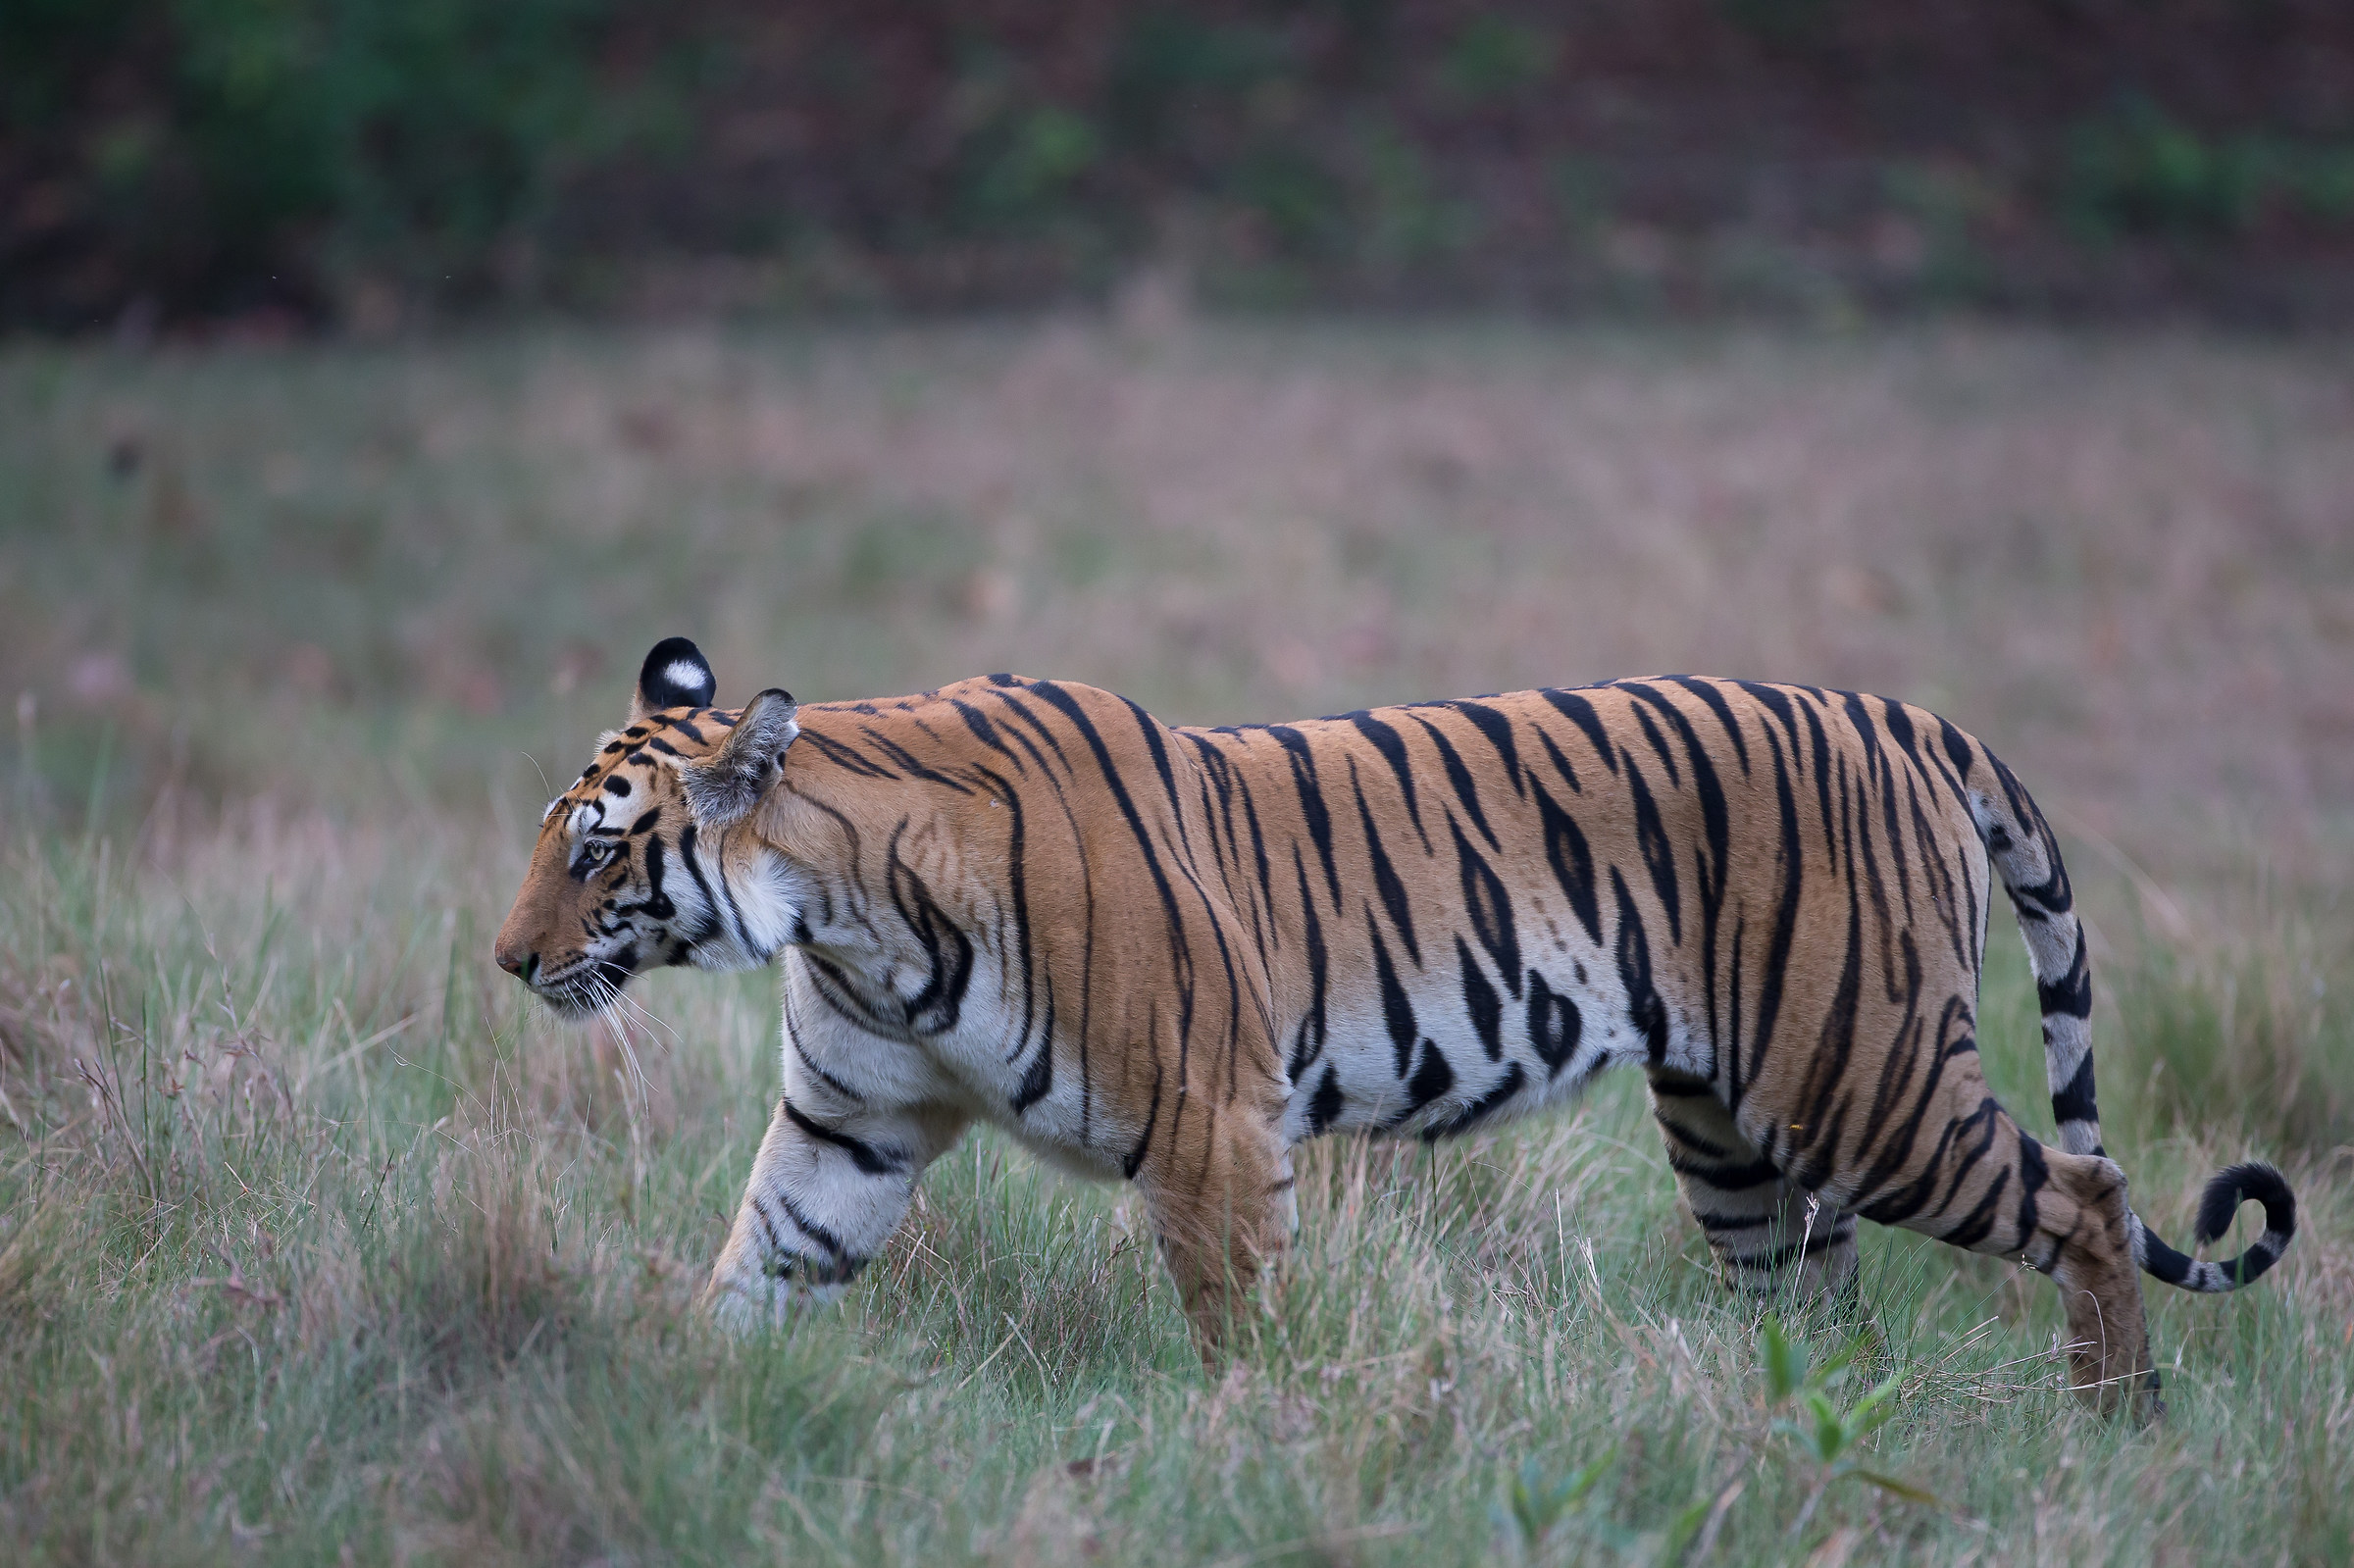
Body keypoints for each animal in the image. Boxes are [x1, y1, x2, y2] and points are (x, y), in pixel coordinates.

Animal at [493, 637, 2295, 1416]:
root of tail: (1908, 711)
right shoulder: (846, 1128)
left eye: (593, 851)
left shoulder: (1211, 1123)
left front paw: (1252, 1449)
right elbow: (756, 1273)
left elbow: (1235, 1324)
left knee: (2089, 1193)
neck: (853, 916)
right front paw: (673, 1403)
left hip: (1866, 1075)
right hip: (1733, 1138)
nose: (507, 961)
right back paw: (1825, 1431)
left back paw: (2114, 1423)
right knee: (1821, 1297)